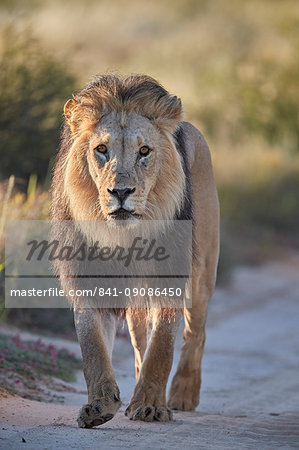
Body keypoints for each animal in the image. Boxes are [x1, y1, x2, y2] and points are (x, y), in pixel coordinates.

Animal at [51, 74, 220, 428]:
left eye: (144, 151)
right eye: (101, 150)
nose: (121, 192)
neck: (123, 237)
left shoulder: (169, 279)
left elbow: (163, 347)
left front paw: (152, 406)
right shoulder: (88, 282)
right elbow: (93, 349)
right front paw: (100, 405)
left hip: (202, 273)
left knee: (195, 332)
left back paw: (182, 394)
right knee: (140, 342)